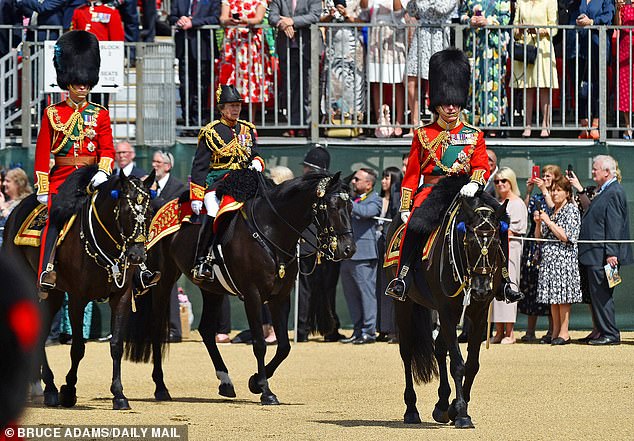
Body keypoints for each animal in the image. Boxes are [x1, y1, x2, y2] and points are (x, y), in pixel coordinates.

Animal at [2, 166, 154, 410]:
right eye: (126, 212)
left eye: (149, 212)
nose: (137, 256)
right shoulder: (77, 298)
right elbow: (78, 348)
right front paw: (69, 390)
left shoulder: (121, 296)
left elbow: (116, 345)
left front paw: (119, 394)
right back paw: (49, 388)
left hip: (53, 295)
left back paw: (42, 387)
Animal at [127, 170, 356, 404]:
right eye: (332, 206)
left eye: (350, 207)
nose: (348, 249)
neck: (271, 231)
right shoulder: (253, 295)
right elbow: (260, 344)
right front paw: (265, 391)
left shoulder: (280, 296)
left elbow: (284, 346)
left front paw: (255, 382)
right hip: (164, 280)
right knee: (156, 327)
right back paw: (161, 387)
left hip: (211, 290)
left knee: (206, 330)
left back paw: (225, 382)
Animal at [382, 188, 506, 426]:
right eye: (469, 242)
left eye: (496, 243)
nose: (481, 290)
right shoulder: (447, 311)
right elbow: (457, 363)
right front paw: (462, 413)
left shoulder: (478, 313)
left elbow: (472, 364)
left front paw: (455, 407)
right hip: (405, 304)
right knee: (407, 351)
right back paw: (411, 409)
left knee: (439, 348)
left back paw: (441, 405)